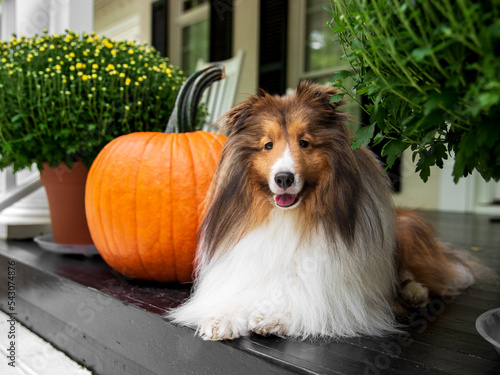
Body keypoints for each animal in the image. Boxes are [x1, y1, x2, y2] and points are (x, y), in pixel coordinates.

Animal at [170, 81, 486, 340]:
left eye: (304, 143)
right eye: (268, 145)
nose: (283, 178)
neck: (288, 218)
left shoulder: (337, 294)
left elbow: (308, 302)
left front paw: (274, 316)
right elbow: (236, 295)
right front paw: (221, 318)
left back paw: (414, 292)